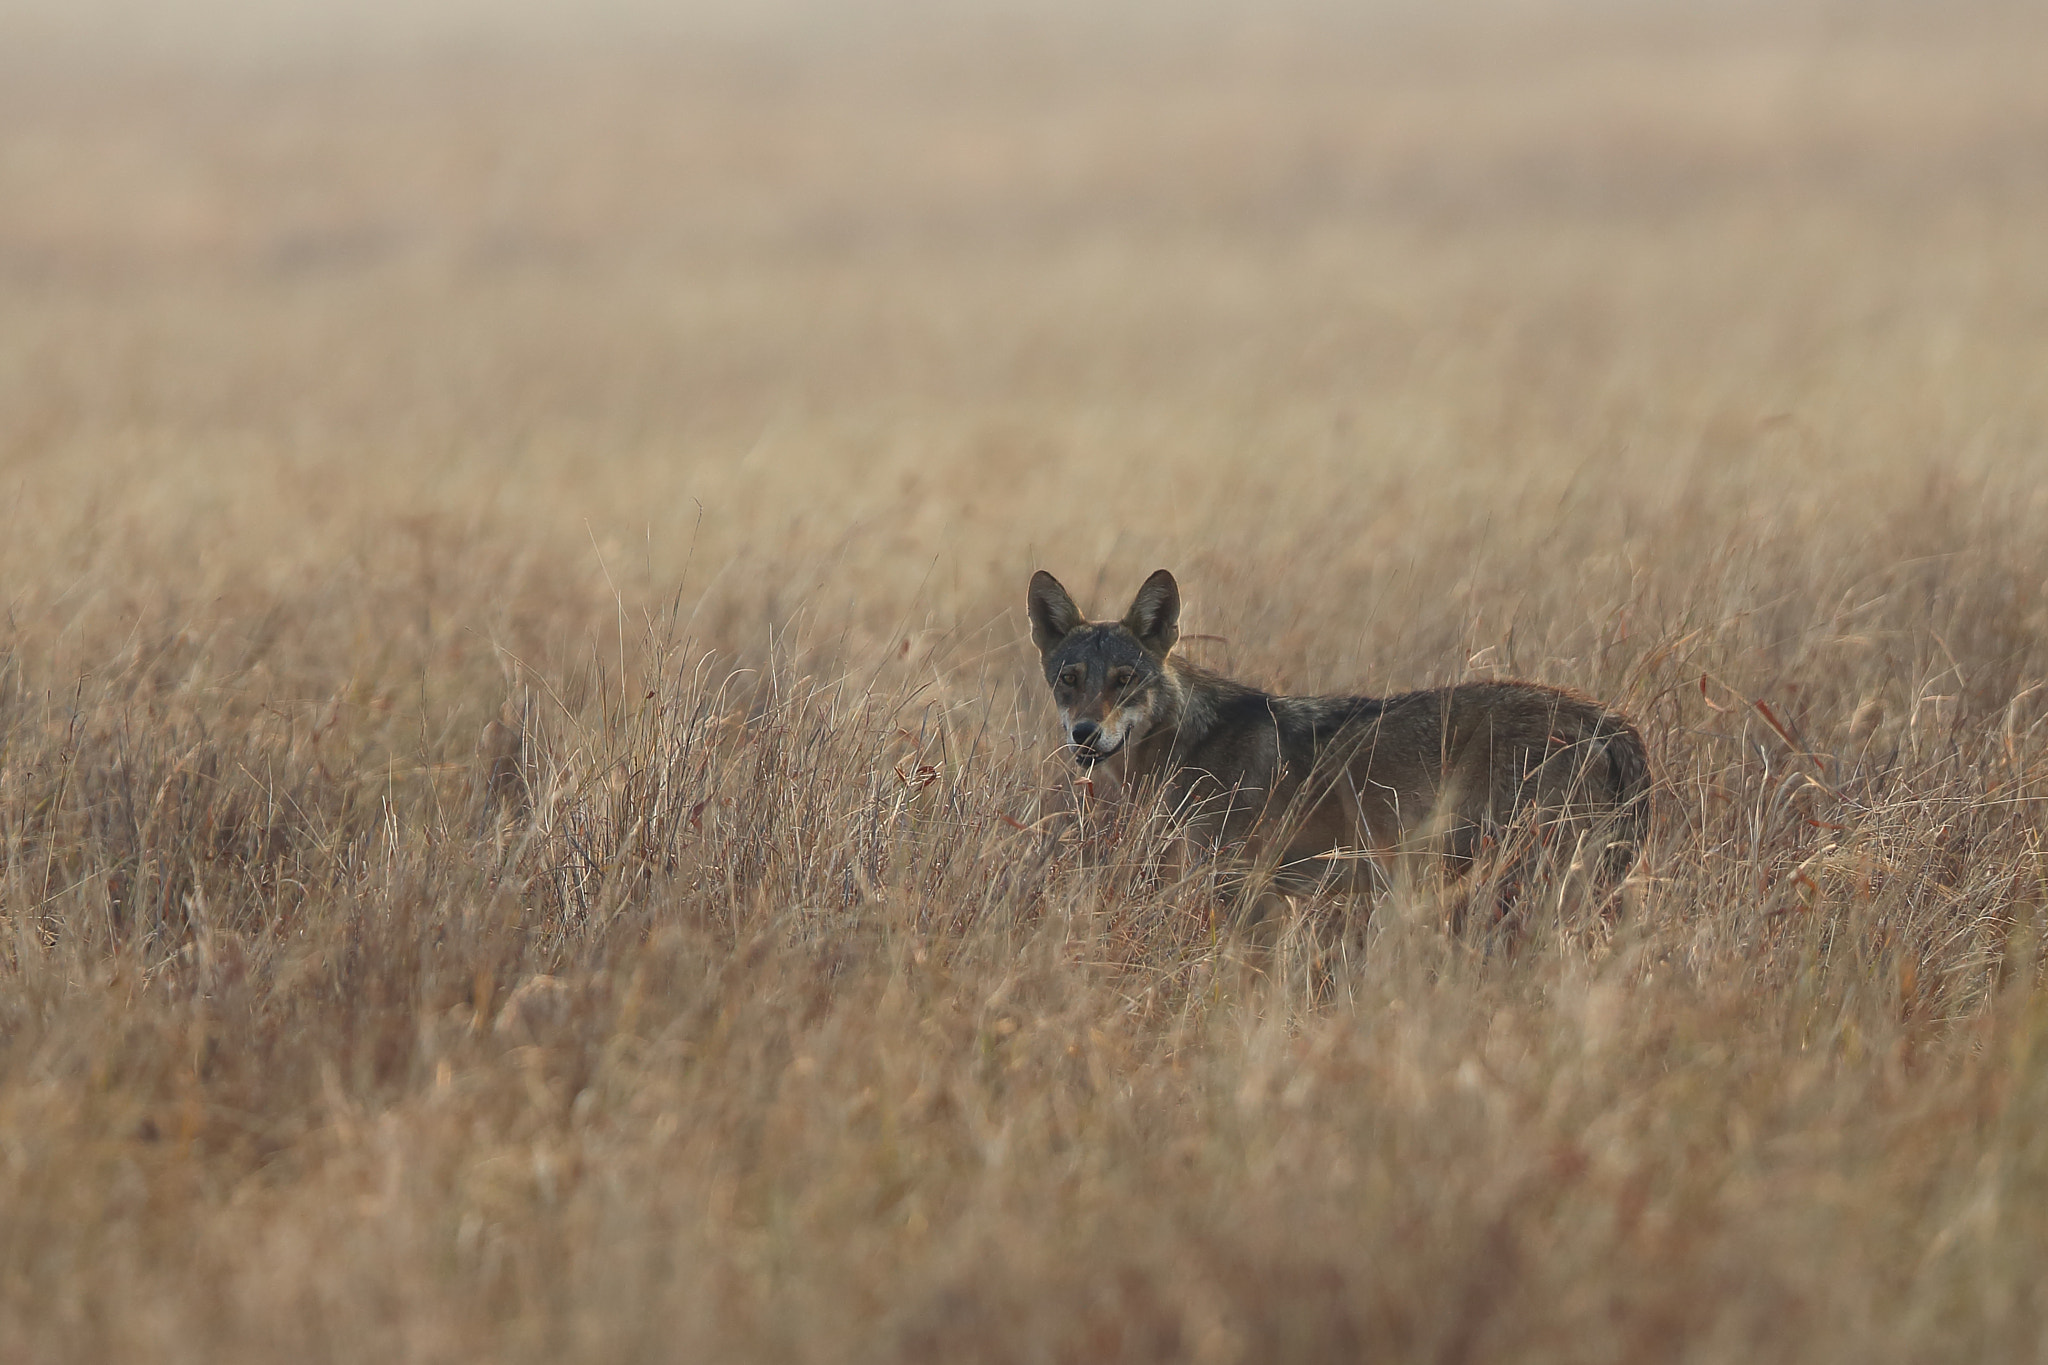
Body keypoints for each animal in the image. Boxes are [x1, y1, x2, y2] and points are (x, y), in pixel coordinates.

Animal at [1027, 568, 1652, 915]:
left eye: (1123, 680)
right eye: (1069, 679)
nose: (1085, 735)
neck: (1191, 745)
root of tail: (1607, 719)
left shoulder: (1248, 896)